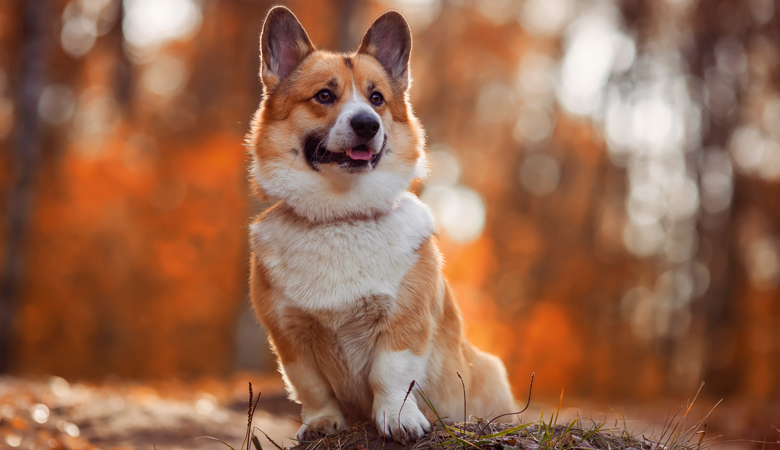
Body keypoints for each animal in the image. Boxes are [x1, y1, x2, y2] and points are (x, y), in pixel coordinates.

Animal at [247, 5, 516, 444]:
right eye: (324, 95)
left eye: (377, 99)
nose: (367, 124)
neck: (342, 215)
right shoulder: (290, 336)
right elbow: (312, 387)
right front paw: (321, 423)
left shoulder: (403, 322)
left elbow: (390, 376)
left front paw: (399, 420)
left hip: (490, 371)